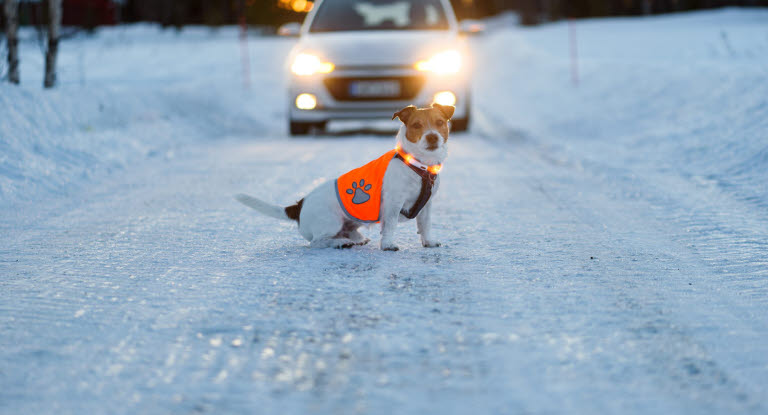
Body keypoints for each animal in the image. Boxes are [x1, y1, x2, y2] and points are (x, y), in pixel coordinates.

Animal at [237, 103, 452, 250]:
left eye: (440, 123)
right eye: (416, 125)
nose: (432, 137)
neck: (418, 165)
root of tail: (299, 206)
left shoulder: (426, 205)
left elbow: (425, 224)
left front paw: (428, 241)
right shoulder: (393, 204)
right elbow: (390, 226)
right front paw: (388, 245)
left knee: (348, 232)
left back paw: (355, 239)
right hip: (331, 222)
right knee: (317, 242)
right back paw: (340, 243)